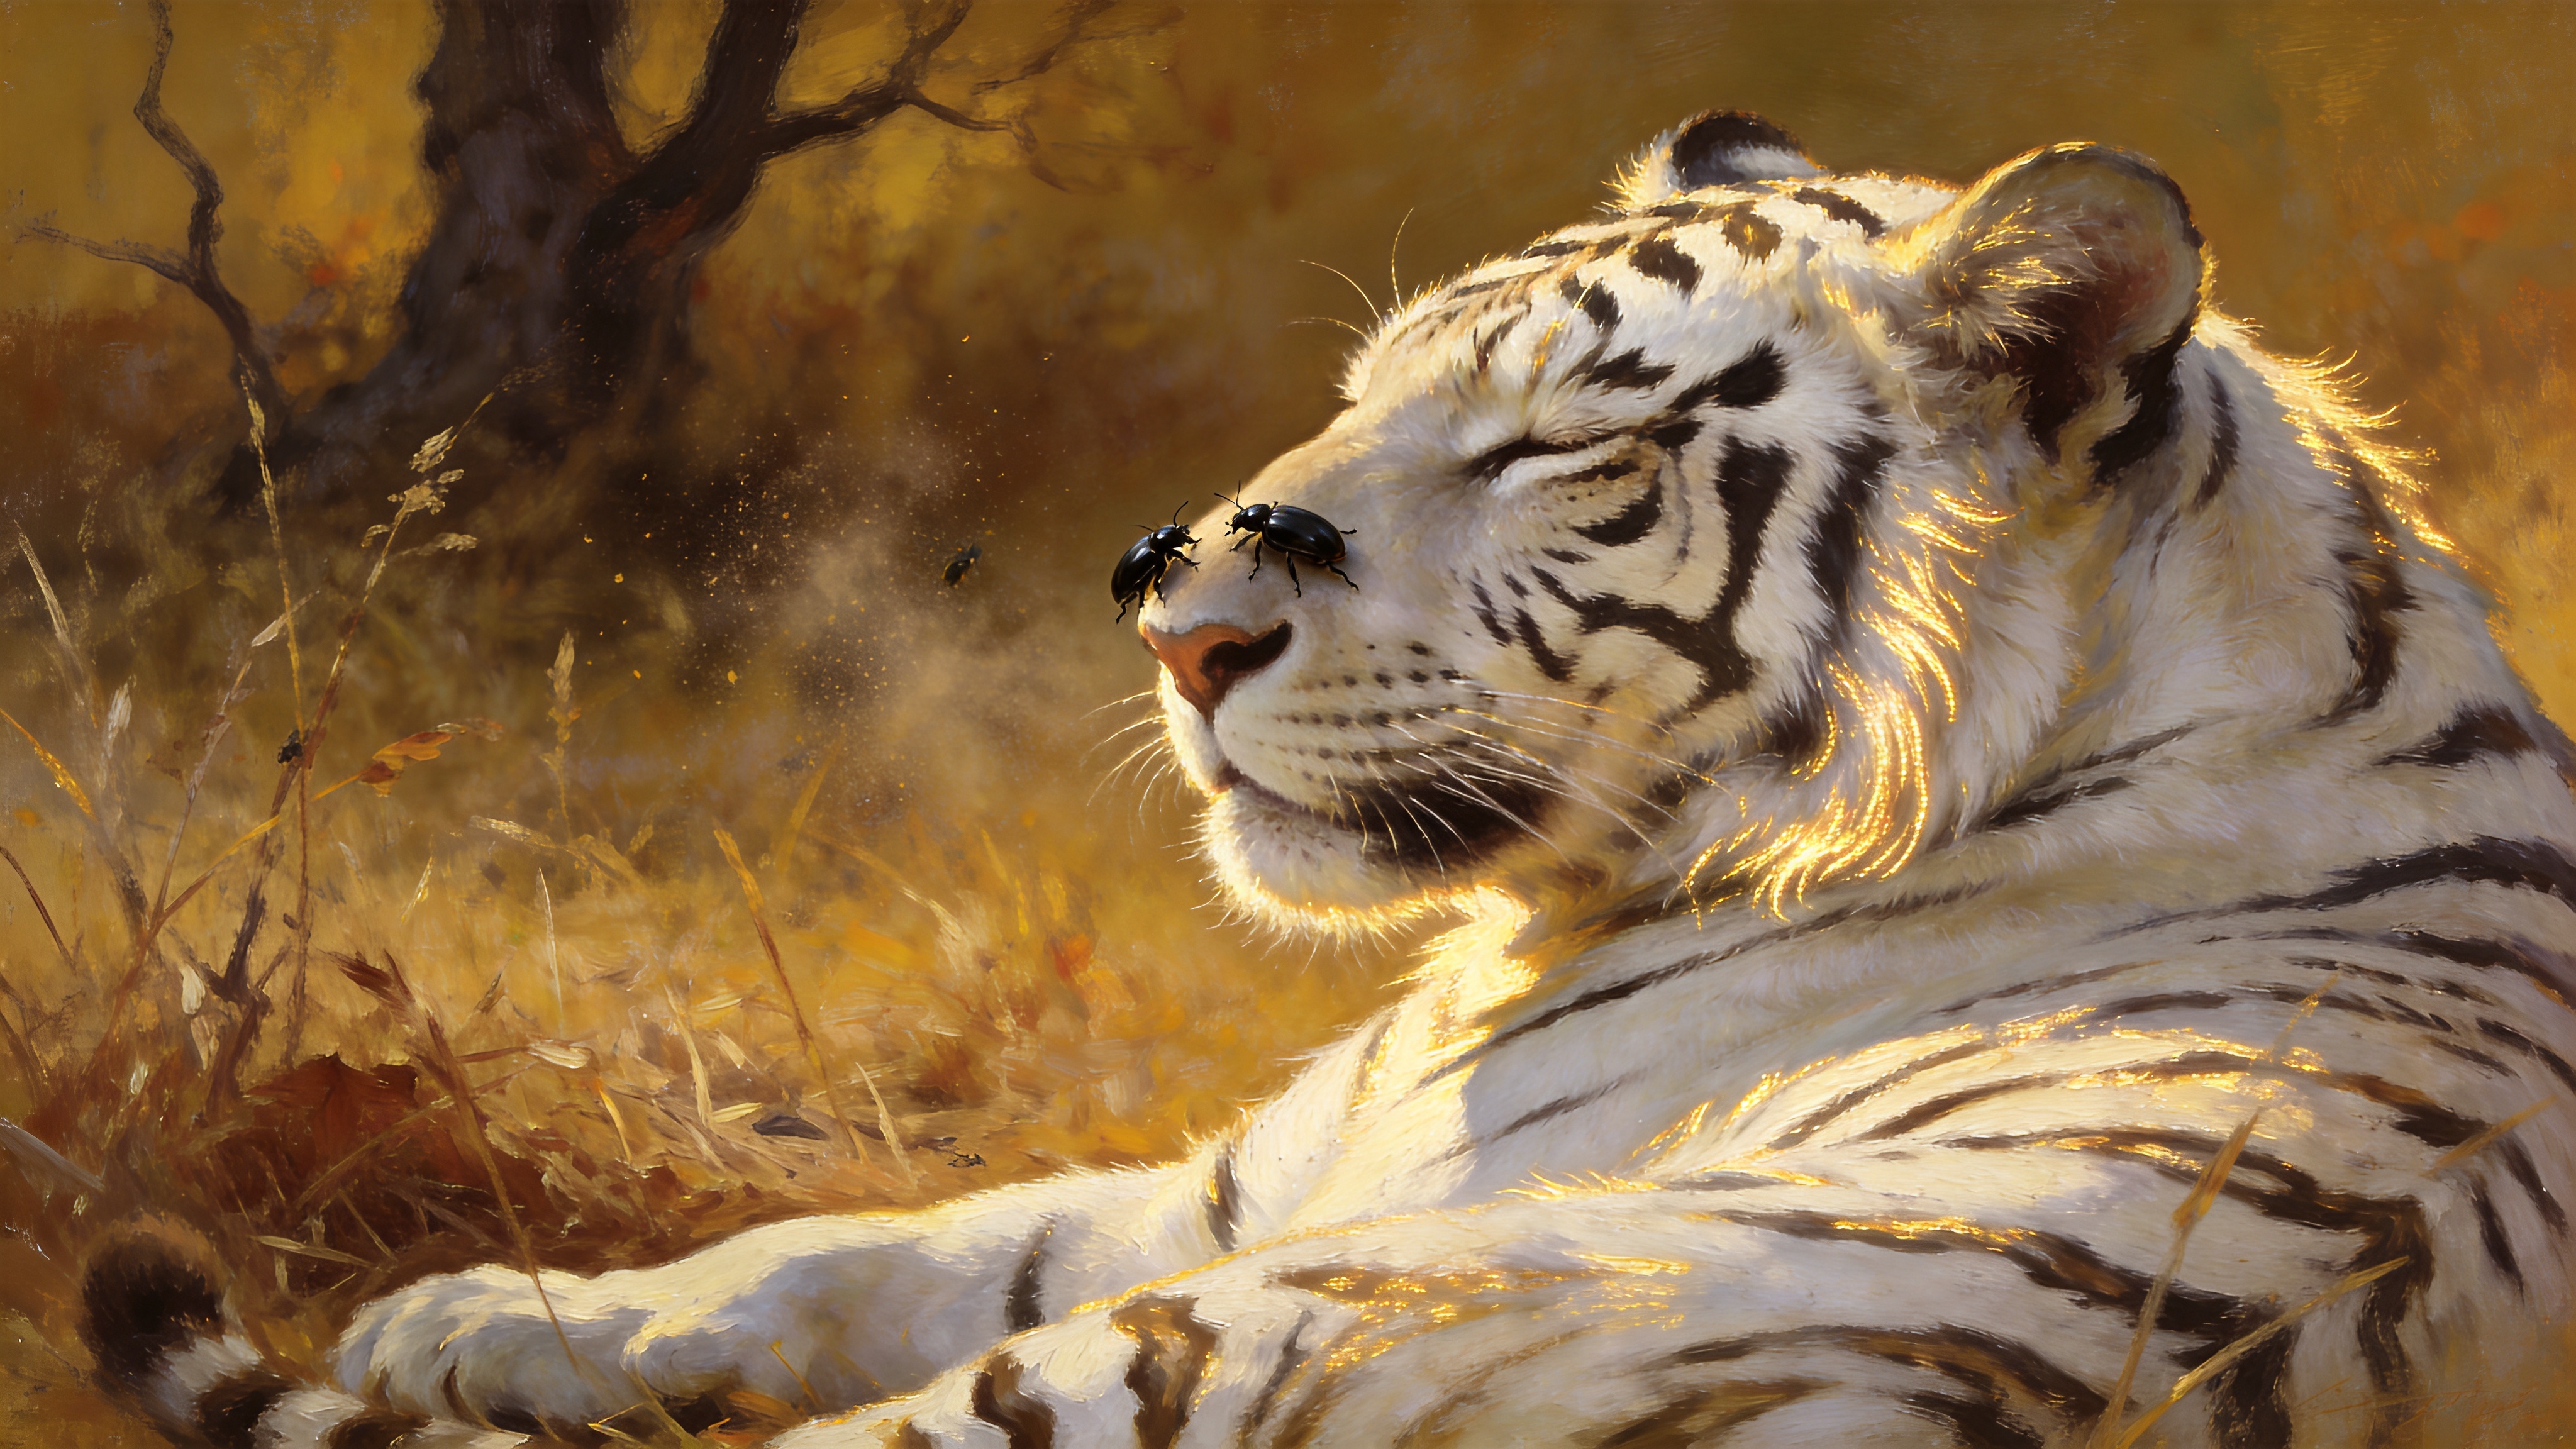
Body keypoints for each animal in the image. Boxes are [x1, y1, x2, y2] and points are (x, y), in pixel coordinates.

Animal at [84, 110, 2576, 1449]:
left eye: (1560, 449)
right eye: (1368, 390)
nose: (1175, 619)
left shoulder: (1297, 1216)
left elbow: (912, 1270)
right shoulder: (1238, 1178)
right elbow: (862, 1234)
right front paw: (473, 1314)